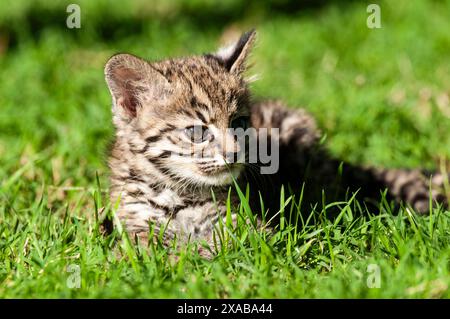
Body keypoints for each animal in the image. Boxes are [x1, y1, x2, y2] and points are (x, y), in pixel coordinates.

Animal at [104, 30, 446, 255]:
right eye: (197, 132)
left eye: (239, 123)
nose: (235, 155)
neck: (177, 190)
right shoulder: (133, 223)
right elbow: (143, 248)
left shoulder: (245, 224)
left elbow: (232, 244)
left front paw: (198, 254)